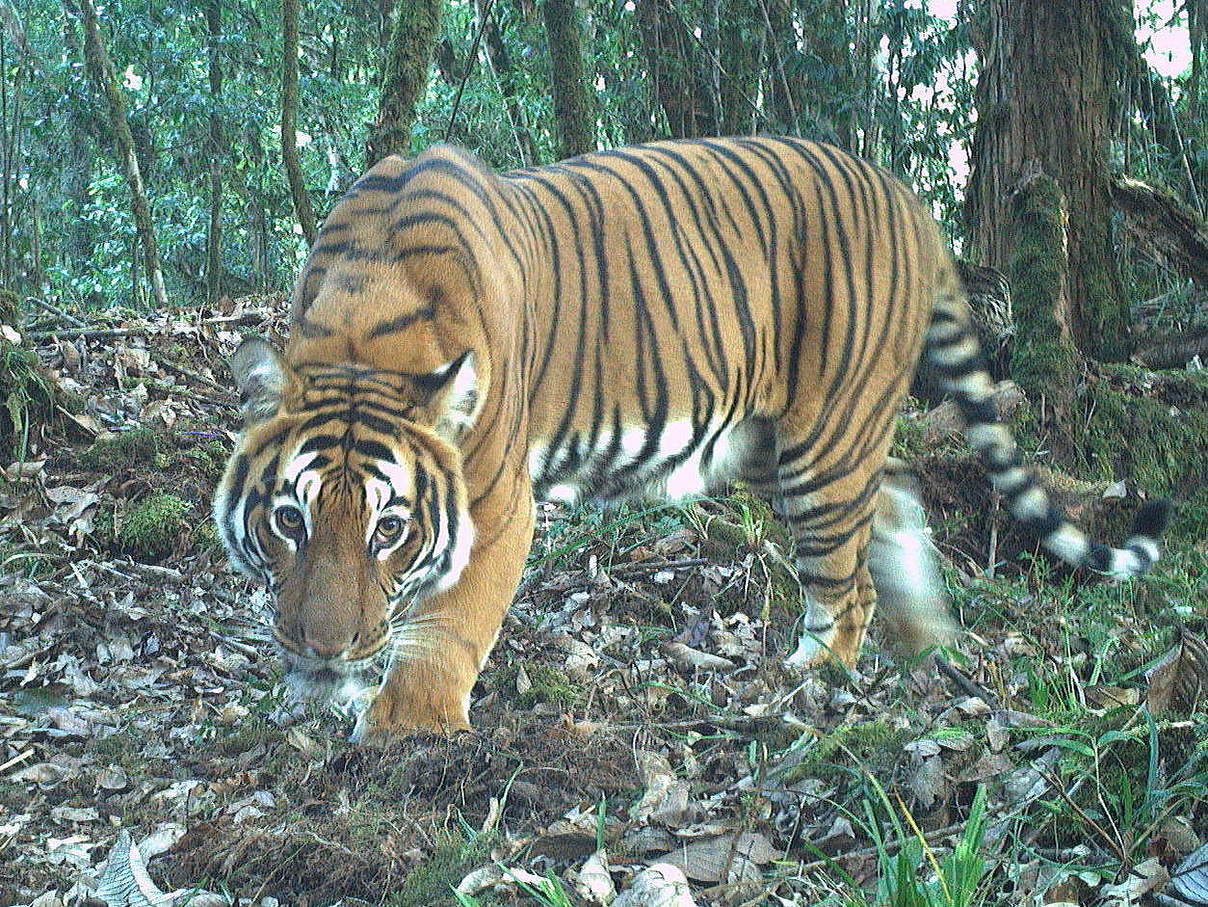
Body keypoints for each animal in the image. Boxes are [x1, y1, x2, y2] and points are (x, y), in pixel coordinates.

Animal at [212, 136, 1164, 743]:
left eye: (391, 529)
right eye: (291, 520)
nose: (324, 647)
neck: (362, 327)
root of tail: (905, 195)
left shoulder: (493, 500)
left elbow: (447, 619)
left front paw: (405, 732)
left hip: (823, 435)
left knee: (844, 577)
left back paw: (806, 677)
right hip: (781, 440)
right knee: (895, 497)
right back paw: (930, 638)